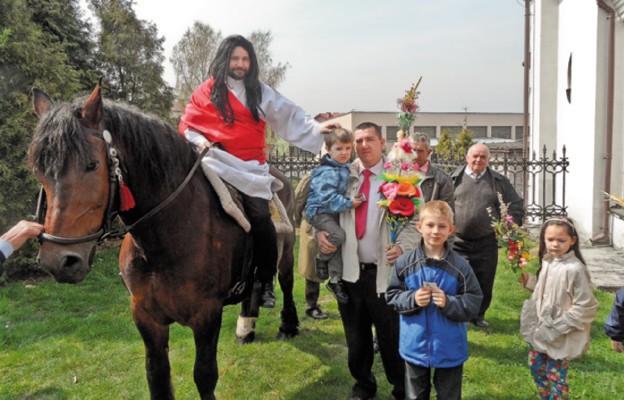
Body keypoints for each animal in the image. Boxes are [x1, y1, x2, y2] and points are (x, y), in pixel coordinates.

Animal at [29, 83, 300, 396]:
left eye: (92, 165)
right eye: (39, 170)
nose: (59, 261)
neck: (163, 243)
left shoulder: (207, 316)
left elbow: (205, 376)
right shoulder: (146, 316)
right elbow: (157, 376)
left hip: (287, 251)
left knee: (286, 281)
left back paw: (288, 325)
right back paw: (246, 326)